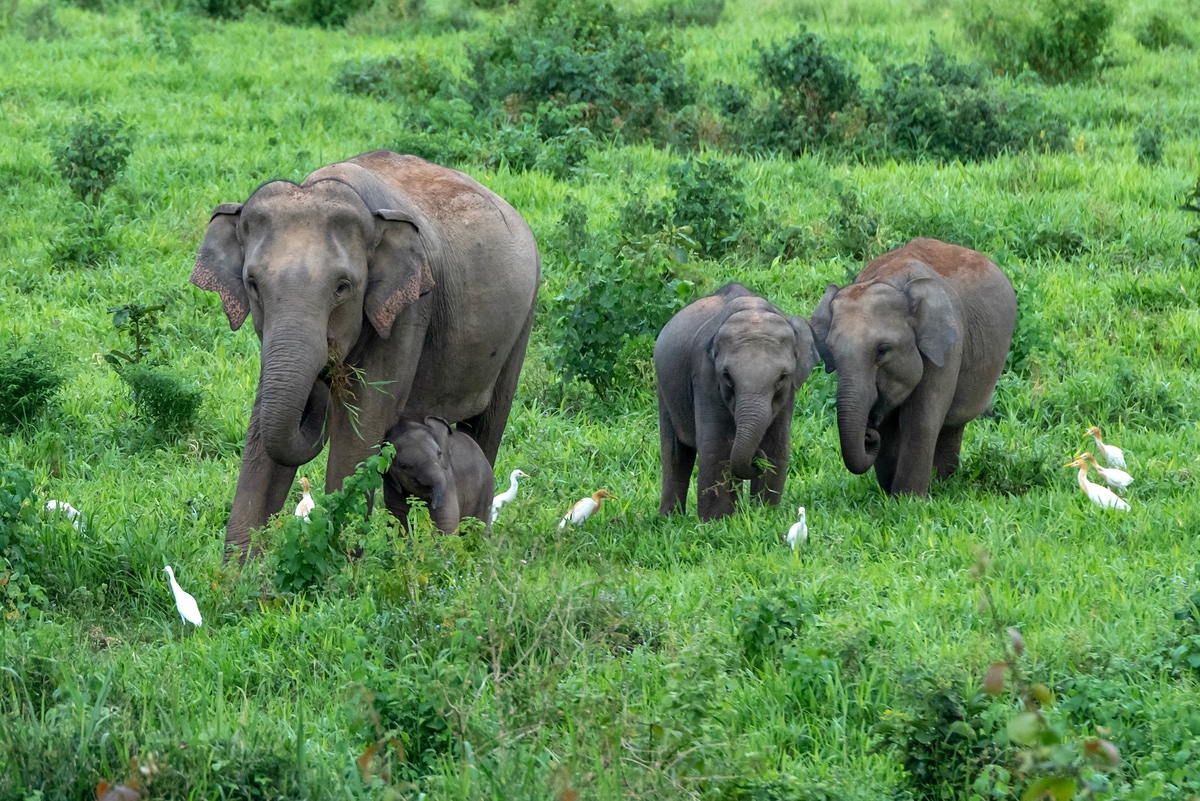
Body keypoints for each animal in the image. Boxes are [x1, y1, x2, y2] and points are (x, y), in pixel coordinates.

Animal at [192, 153, 540, 561]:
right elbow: (263, 422)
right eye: (252, 284)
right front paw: (238, 573)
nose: (323, 377)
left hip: (523, 320)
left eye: (343, 287)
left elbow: (364, 420)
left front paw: (336, 563)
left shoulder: (408, 308)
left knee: (488, 424)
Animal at [652, 281, 820, 520]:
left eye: (782, 377)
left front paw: (764, 514)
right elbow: (718, 443)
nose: (756, 459)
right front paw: (717, 521)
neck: (753, 308)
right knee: (675, 451)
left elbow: (776, 445)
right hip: (664, 388)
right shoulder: (705, 376)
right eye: (727, 375)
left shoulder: (788, 394)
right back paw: (669, 519)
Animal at [811, 236, 1017, 494]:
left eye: (883, 350)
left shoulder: (946, 348)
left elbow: (920, 420)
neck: (890, 279)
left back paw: (940, 485)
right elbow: (888, 426)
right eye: (831, 353)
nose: (868, 435)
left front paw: (907, 499)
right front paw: (891, 494)